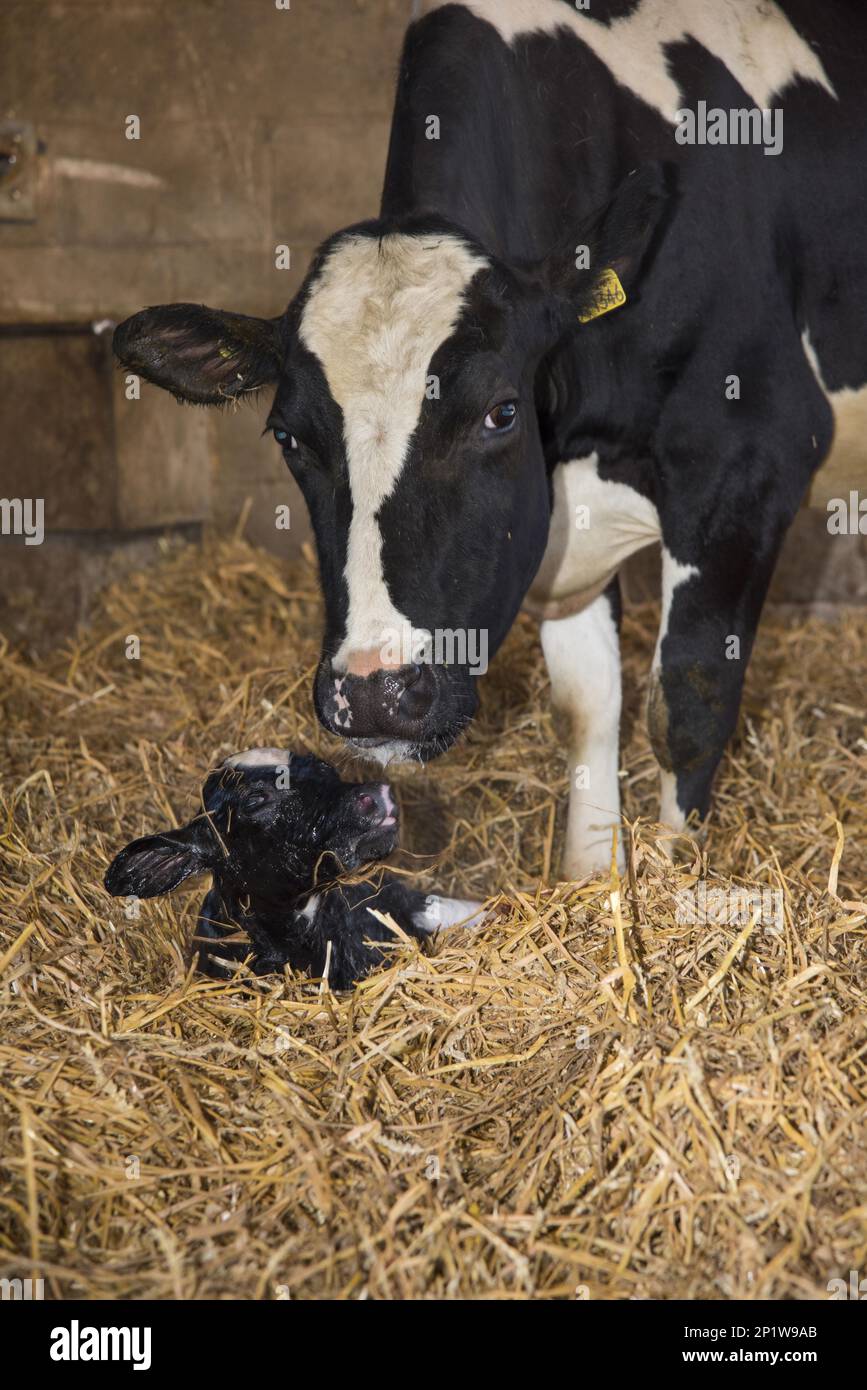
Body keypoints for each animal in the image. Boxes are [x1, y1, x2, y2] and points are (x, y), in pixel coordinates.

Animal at [109, 5, 867, 878]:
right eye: (288, 435)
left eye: (500, 413)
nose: (374, 693)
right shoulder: (557, 528)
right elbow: (586, 705)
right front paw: (593, 881)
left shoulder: (748, 464)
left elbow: (687, 703)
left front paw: (678, 882)